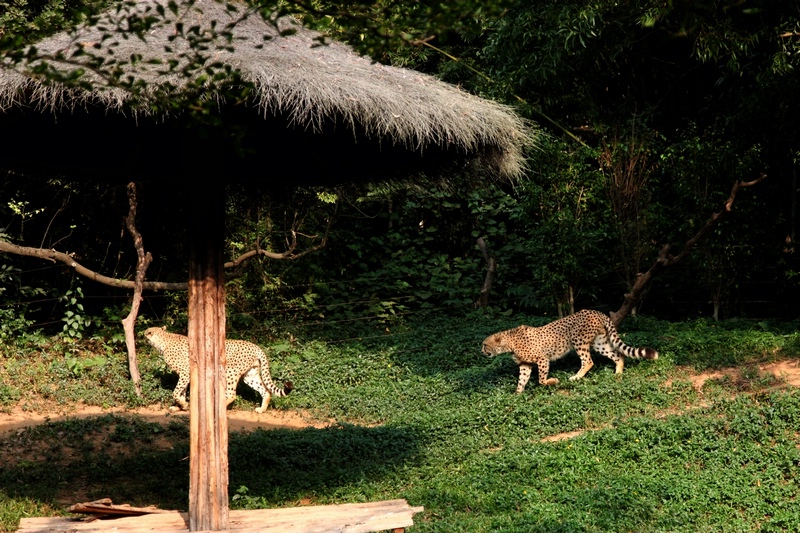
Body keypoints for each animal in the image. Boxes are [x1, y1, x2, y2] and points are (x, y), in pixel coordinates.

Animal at [143, 327, 293, 413]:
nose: (142, 335)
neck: (163, 340)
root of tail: (255, 346)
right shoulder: (186, 374)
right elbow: (181, 391)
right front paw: (180, 406)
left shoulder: (185, 372)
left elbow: (175, 392)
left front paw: (183, 405)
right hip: (250, 375)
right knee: (266, 390)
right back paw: (262, 409)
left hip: (229, 372)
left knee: (232, 394)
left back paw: (218, 407)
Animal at [481, 309, 658, 393]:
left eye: (484, 345)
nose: (481, 352)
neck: (509, 343)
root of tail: (596, 311)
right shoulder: (525, 364)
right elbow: (522, 380)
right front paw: (517, 395)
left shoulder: (542, 359)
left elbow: (541, 379)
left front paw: (553, 381)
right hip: (599, 343)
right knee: (618, 355)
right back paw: (618, 373)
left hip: (578, 340)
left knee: (588, 361)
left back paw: (576, 377)